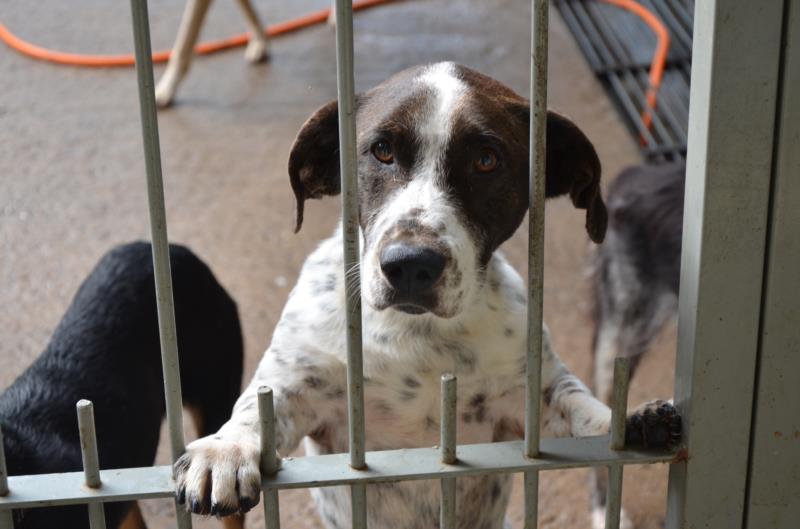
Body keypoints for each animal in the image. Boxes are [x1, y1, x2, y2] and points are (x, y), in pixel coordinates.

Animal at [175, 63, 680, 528]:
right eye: (381, 151)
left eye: (486, 160)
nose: (410, 264)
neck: (414, 335)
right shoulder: (298, 386)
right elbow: (255, 409)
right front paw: (224, 449)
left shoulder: (534, 396)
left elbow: (584, 408)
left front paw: (629, 419)